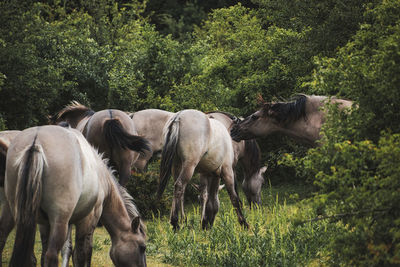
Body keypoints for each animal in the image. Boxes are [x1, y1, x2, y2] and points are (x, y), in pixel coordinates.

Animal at [0, 125, 147, 267]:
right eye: (142, 247)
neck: (101, 176)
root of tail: (35, 142)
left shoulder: (48, 223)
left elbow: (65, 250)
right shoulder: (88, 220)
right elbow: (82, 255)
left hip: (13, 213)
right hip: (59, 221)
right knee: (51, 255)